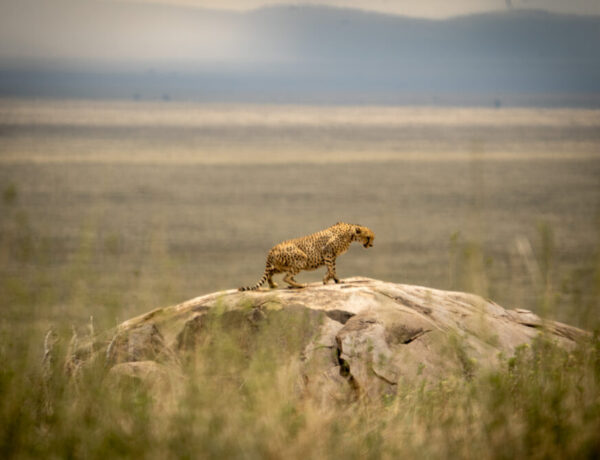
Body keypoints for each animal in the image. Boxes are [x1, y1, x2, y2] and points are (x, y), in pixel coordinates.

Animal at [240, 221, 376, 290]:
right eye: (368, 237)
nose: (371, 245)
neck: (351, 234)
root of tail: (272, 249)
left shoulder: (330, 256)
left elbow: (330, 269)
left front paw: (328, 280)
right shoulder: (328, 252)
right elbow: (332, 269)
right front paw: (334, 280)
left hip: (280, 266)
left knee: (271, 273)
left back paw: (273, 285)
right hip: (301, 259)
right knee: (286, 277)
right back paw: (300, 285)